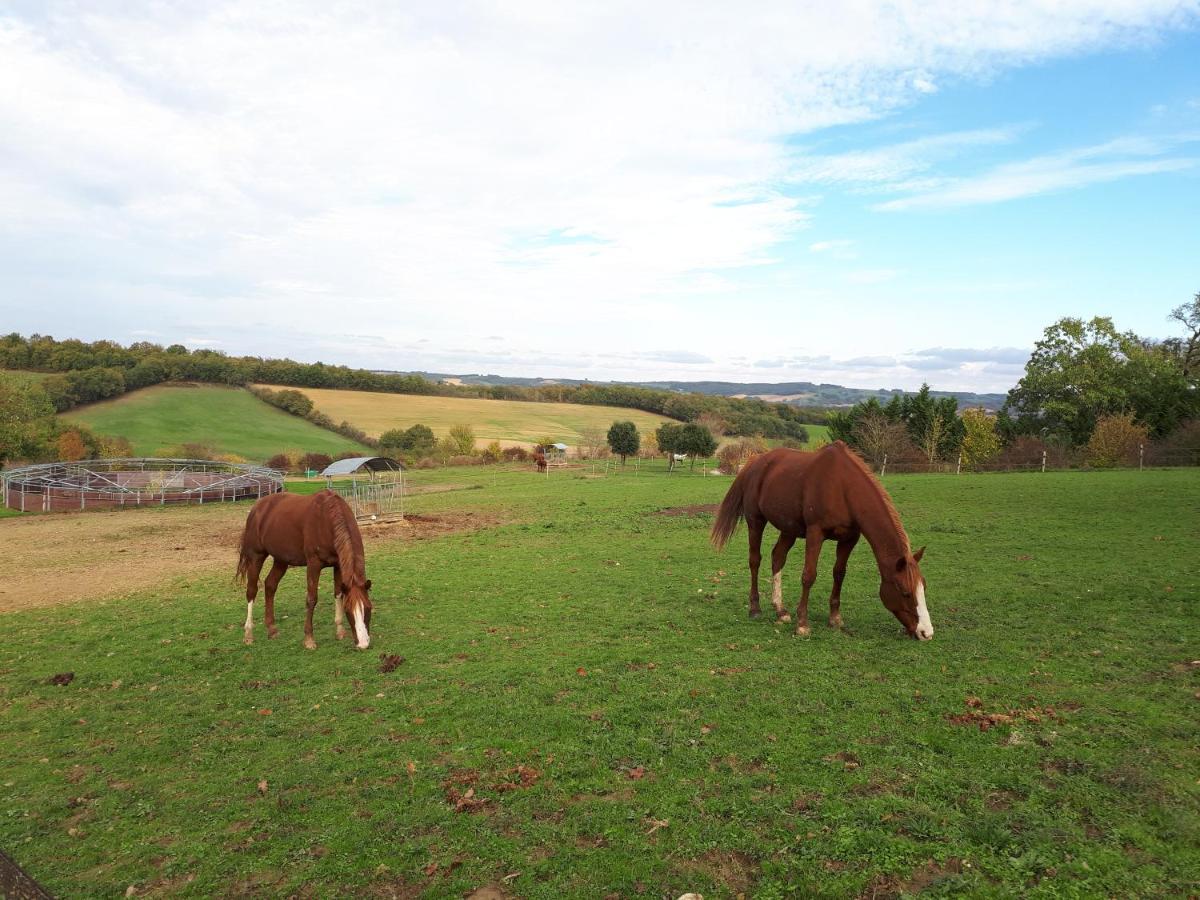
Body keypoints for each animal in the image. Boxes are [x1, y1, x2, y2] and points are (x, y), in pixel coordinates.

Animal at [236, 489, 372, 652]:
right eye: (348, 610)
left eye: (368, 608)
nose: (363, 643)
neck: (326, 519)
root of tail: (257, 507)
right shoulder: (314, 564)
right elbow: (311, 599)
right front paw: (309, 639)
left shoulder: (338, 564)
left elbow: (338, 593)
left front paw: (340, 631)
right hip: (256, 556)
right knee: (252, 591)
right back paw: (248, 634)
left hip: (281, 559)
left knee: (270, 585)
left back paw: (272, 629)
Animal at [705, 444, 931, 643]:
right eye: (905, 592)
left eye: (923, 587)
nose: (926, 632)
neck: (843, 487)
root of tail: (754, 462)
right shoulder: (815, 533)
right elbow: (808, 576)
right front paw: (802, 624)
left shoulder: (849, 539)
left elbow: (839, 574)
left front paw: (835, 619)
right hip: (755, 521)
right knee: (755, 560)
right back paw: (755, 608)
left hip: (789, 529)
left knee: (777, 557)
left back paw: (780, 610)